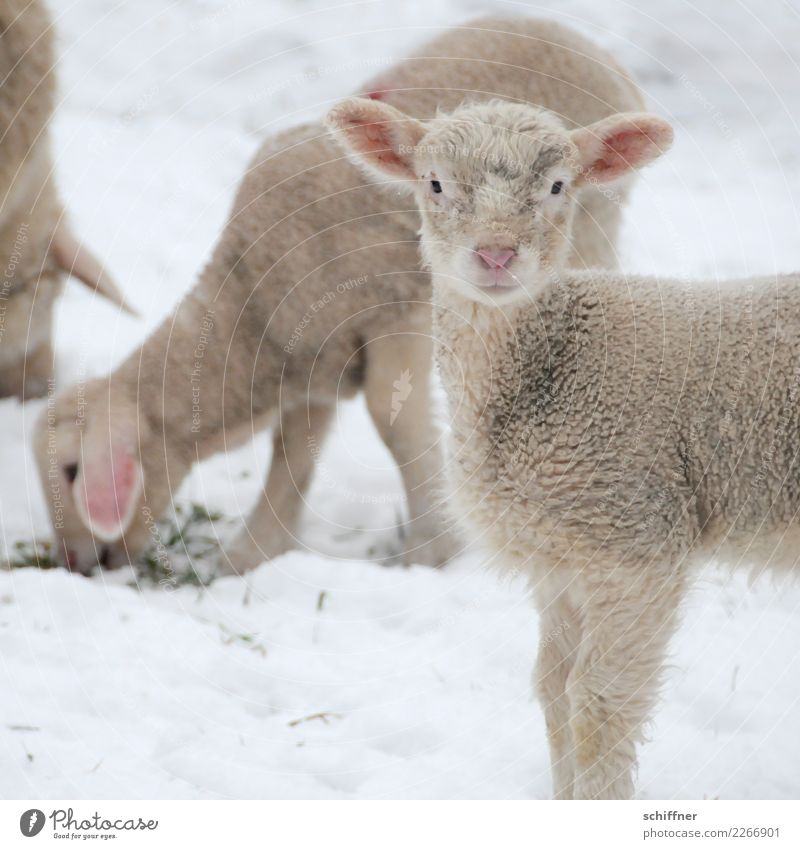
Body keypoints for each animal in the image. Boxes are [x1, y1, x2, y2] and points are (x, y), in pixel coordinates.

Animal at [34, 16, 648, 572]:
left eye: (70, 470)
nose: (75, 564)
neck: (248, 304)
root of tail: (592, 46)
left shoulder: (395, 314)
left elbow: (394, 424)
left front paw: (431, 552)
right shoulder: (312, 361)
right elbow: (292, 456)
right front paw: (251, 557)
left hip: (589, 235)